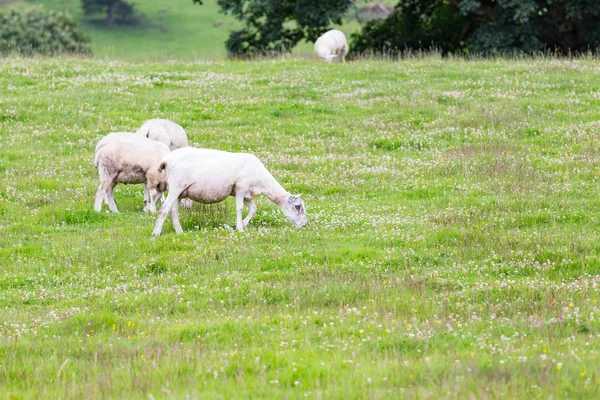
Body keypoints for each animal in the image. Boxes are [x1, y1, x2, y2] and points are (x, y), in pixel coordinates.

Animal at [150, 147, 310, 236]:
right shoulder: (240, 187)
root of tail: (166, 159)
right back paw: (156, 233)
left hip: (180, 191)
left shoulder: (247, 194)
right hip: (176, 186)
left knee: (173, 211)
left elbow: (253, 209)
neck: (262, 182)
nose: (304, 225)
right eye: (297, 207)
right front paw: (239, 228)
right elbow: (239, 209)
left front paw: (239, 225)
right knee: (164, 209)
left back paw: (179, 232)